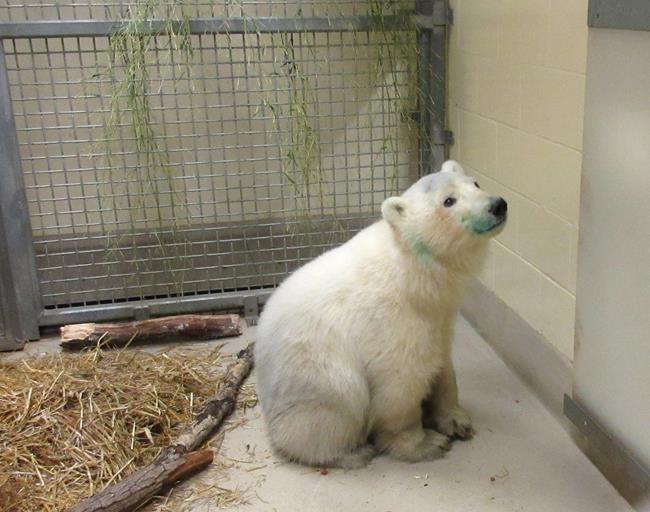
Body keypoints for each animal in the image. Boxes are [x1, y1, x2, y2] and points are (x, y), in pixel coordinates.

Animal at [254, 160, 507, 469]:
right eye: (448, 201)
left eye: (475, 183)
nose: (498, 205)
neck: (415, 272)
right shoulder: (392, 319)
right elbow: (402, 381)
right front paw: (427, 443)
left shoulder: (440, 314)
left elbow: (443, 363)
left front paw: (457, 420)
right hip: (314, 374)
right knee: (334, 406)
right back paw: (351, 453)